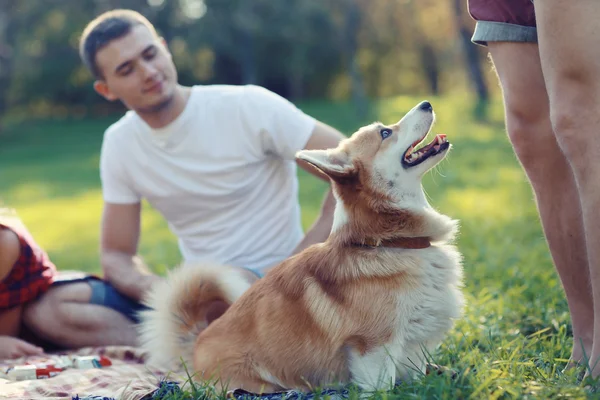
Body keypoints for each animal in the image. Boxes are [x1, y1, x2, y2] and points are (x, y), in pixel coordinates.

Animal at [139, 101, 464, 396]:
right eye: (385, 132)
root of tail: (195, 347)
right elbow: (384, 389)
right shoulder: (373, 347)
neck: (388, 242)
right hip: (257, 383)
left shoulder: (413, 346)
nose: (427, 103)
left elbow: (417, 377)